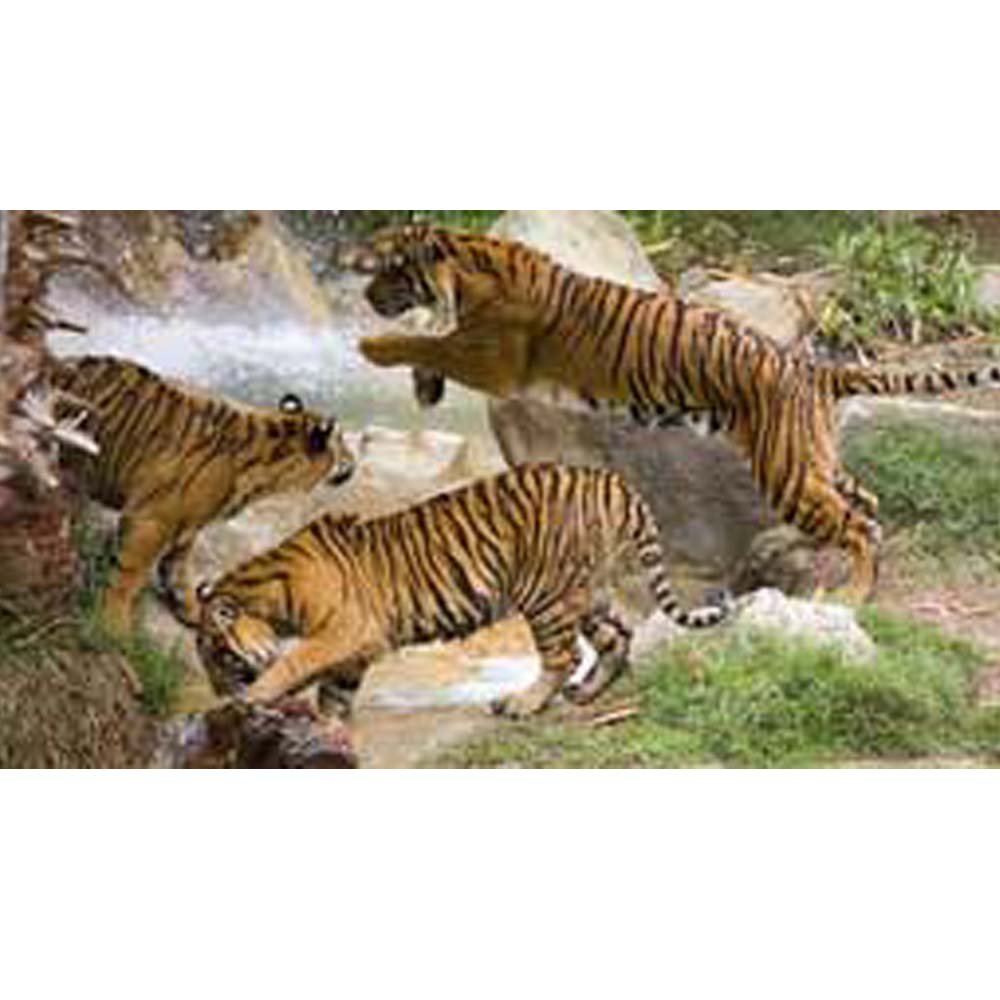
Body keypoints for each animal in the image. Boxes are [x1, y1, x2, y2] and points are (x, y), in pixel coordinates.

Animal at [50, 354, 356, 634]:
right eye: (342, 442)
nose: (353, 461)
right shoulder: (153, 519)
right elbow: (129, 574)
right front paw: (113, 626)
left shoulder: (186, 525)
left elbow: (178, 571)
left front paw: (194, 611)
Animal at [195, 463, 730, 720]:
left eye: (219, 658)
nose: (219, 689)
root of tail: (610, 480)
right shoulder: (355, 651)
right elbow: (334, 697)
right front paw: (330, 733)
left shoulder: (343, 631)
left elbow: (295, 662)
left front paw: (248, 699)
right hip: (584, 591)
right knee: (616, 637)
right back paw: (586, 693)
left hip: (545, 594)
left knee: (563, 656)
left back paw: (521, 704)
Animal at [335, 224, 1000, 603]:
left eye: (390, 268)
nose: (364, 295)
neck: (472, 266)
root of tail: (814, 368)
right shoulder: (478, 349)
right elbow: (433, 340)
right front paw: (422, 385)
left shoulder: (492, 357)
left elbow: (428, 339)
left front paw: (374, 347)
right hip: (811, 460)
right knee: (868, 505)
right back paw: (806, 557)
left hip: (786, 468)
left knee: (857, 523)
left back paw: (853, 595)